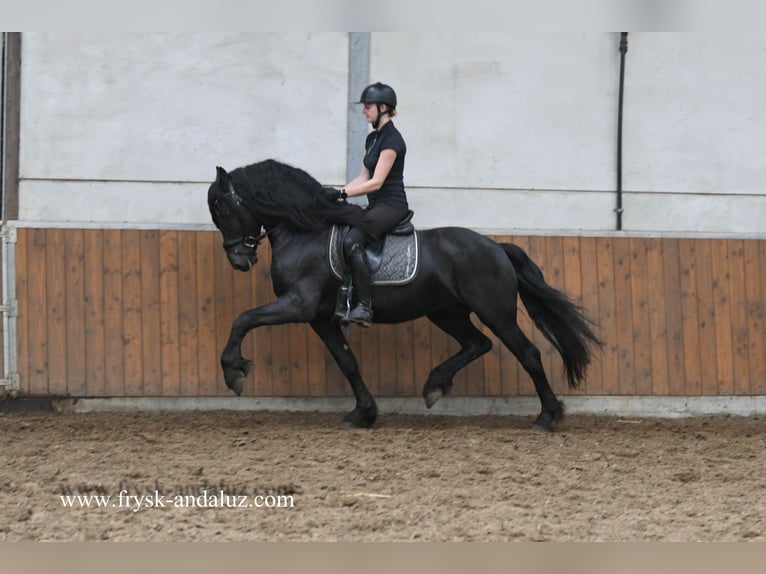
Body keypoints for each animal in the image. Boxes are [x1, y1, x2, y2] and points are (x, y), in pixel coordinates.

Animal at [208, 159, 603, 431]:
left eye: (223, 208)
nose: (238, 260)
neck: (305, 232)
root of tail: (496, 247)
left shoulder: (298, 305)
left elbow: (242, 319)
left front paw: (233, 373)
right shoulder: (320, 319)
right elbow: (347, 361)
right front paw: (363, 414)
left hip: (495, 312)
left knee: (528, 353)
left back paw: (547, 417)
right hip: (446, 312)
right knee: (477, 343)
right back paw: (434, 386)